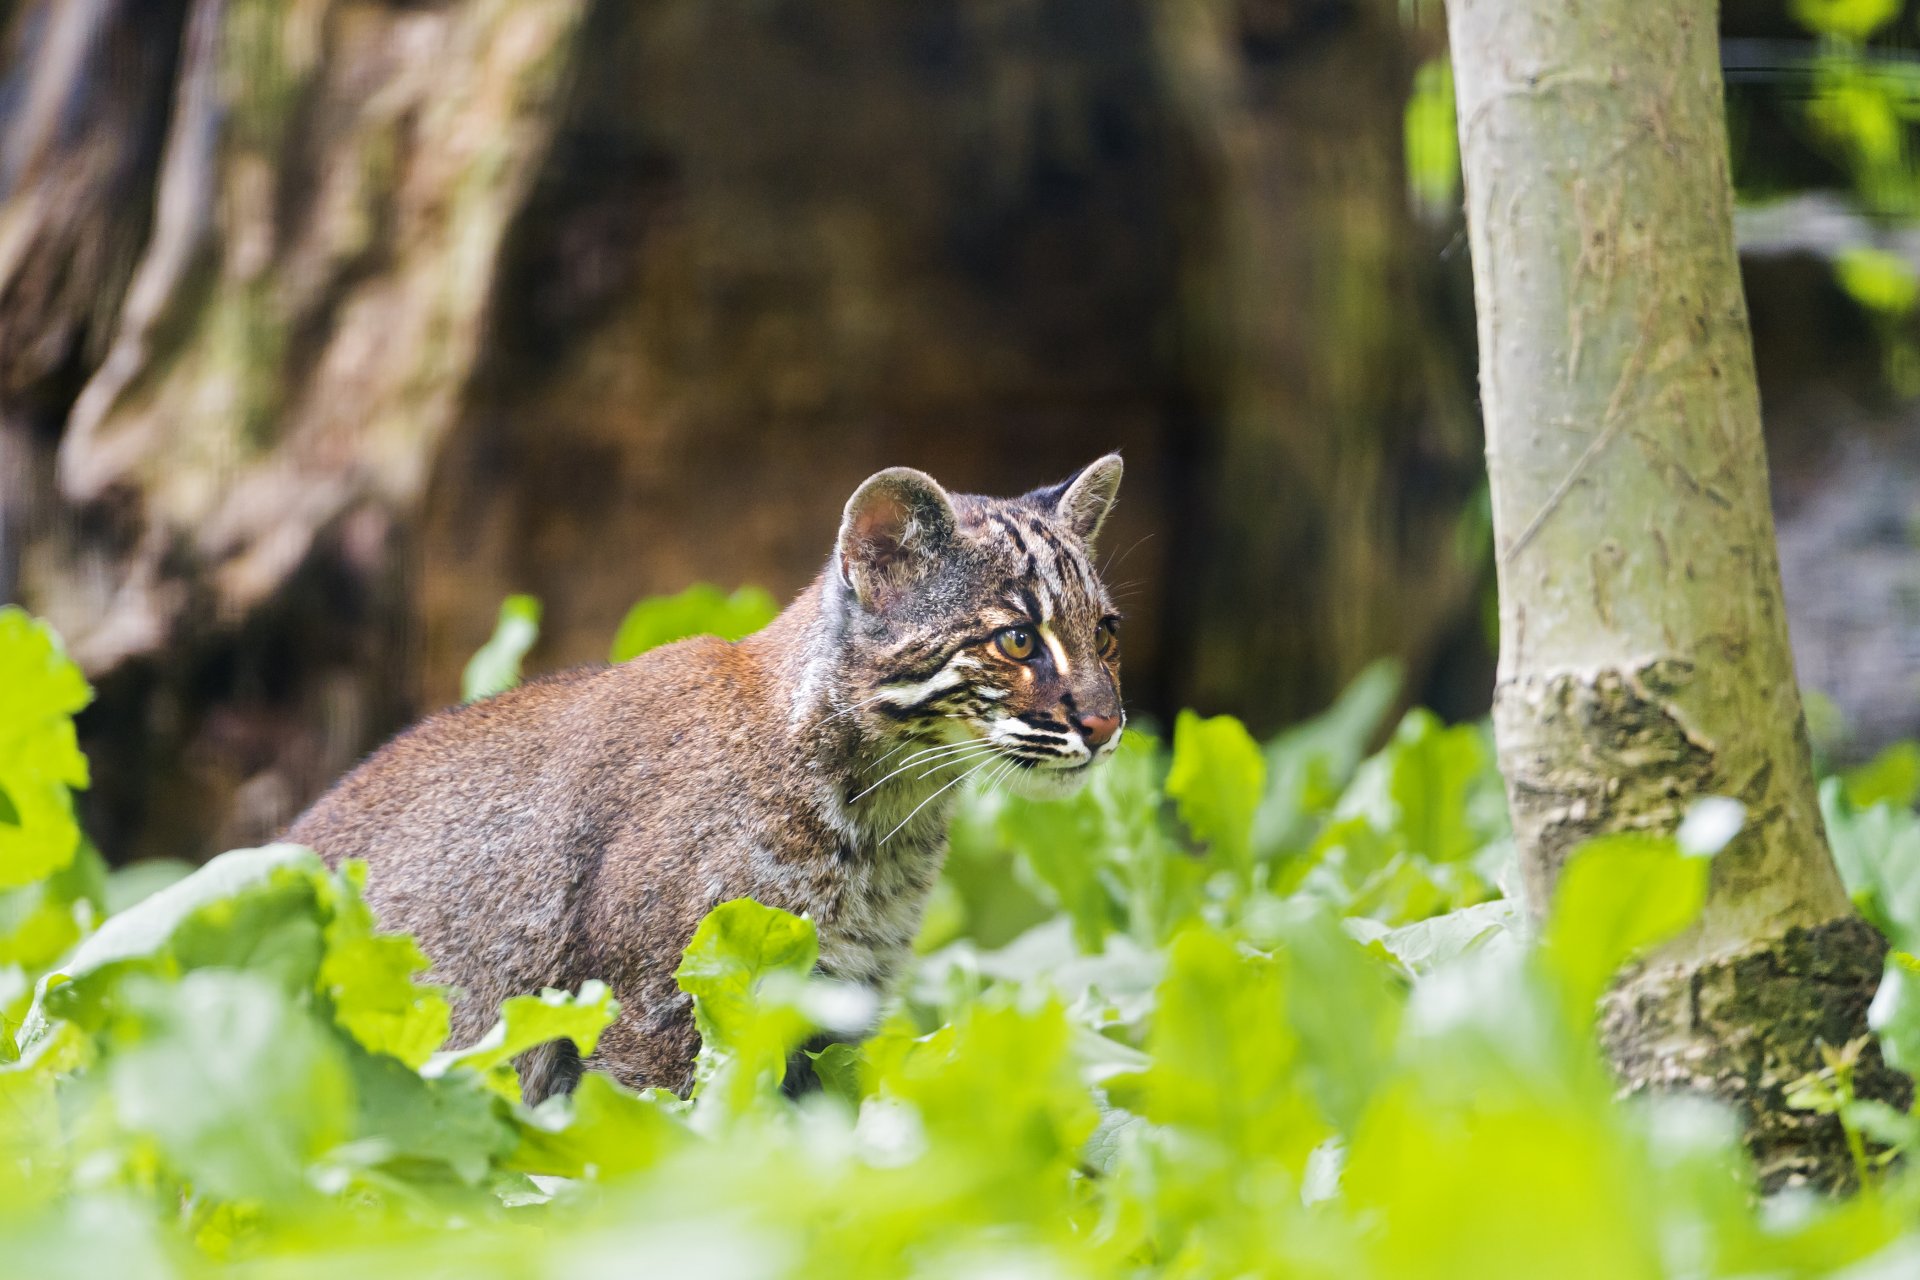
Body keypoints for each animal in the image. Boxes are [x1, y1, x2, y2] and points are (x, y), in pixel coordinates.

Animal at [284, 454, 1121, 1097]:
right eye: (1018, 641)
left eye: (1107, 633)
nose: (1109, 726)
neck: (887, 806)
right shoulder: (655, 1011)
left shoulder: (833, 1012)